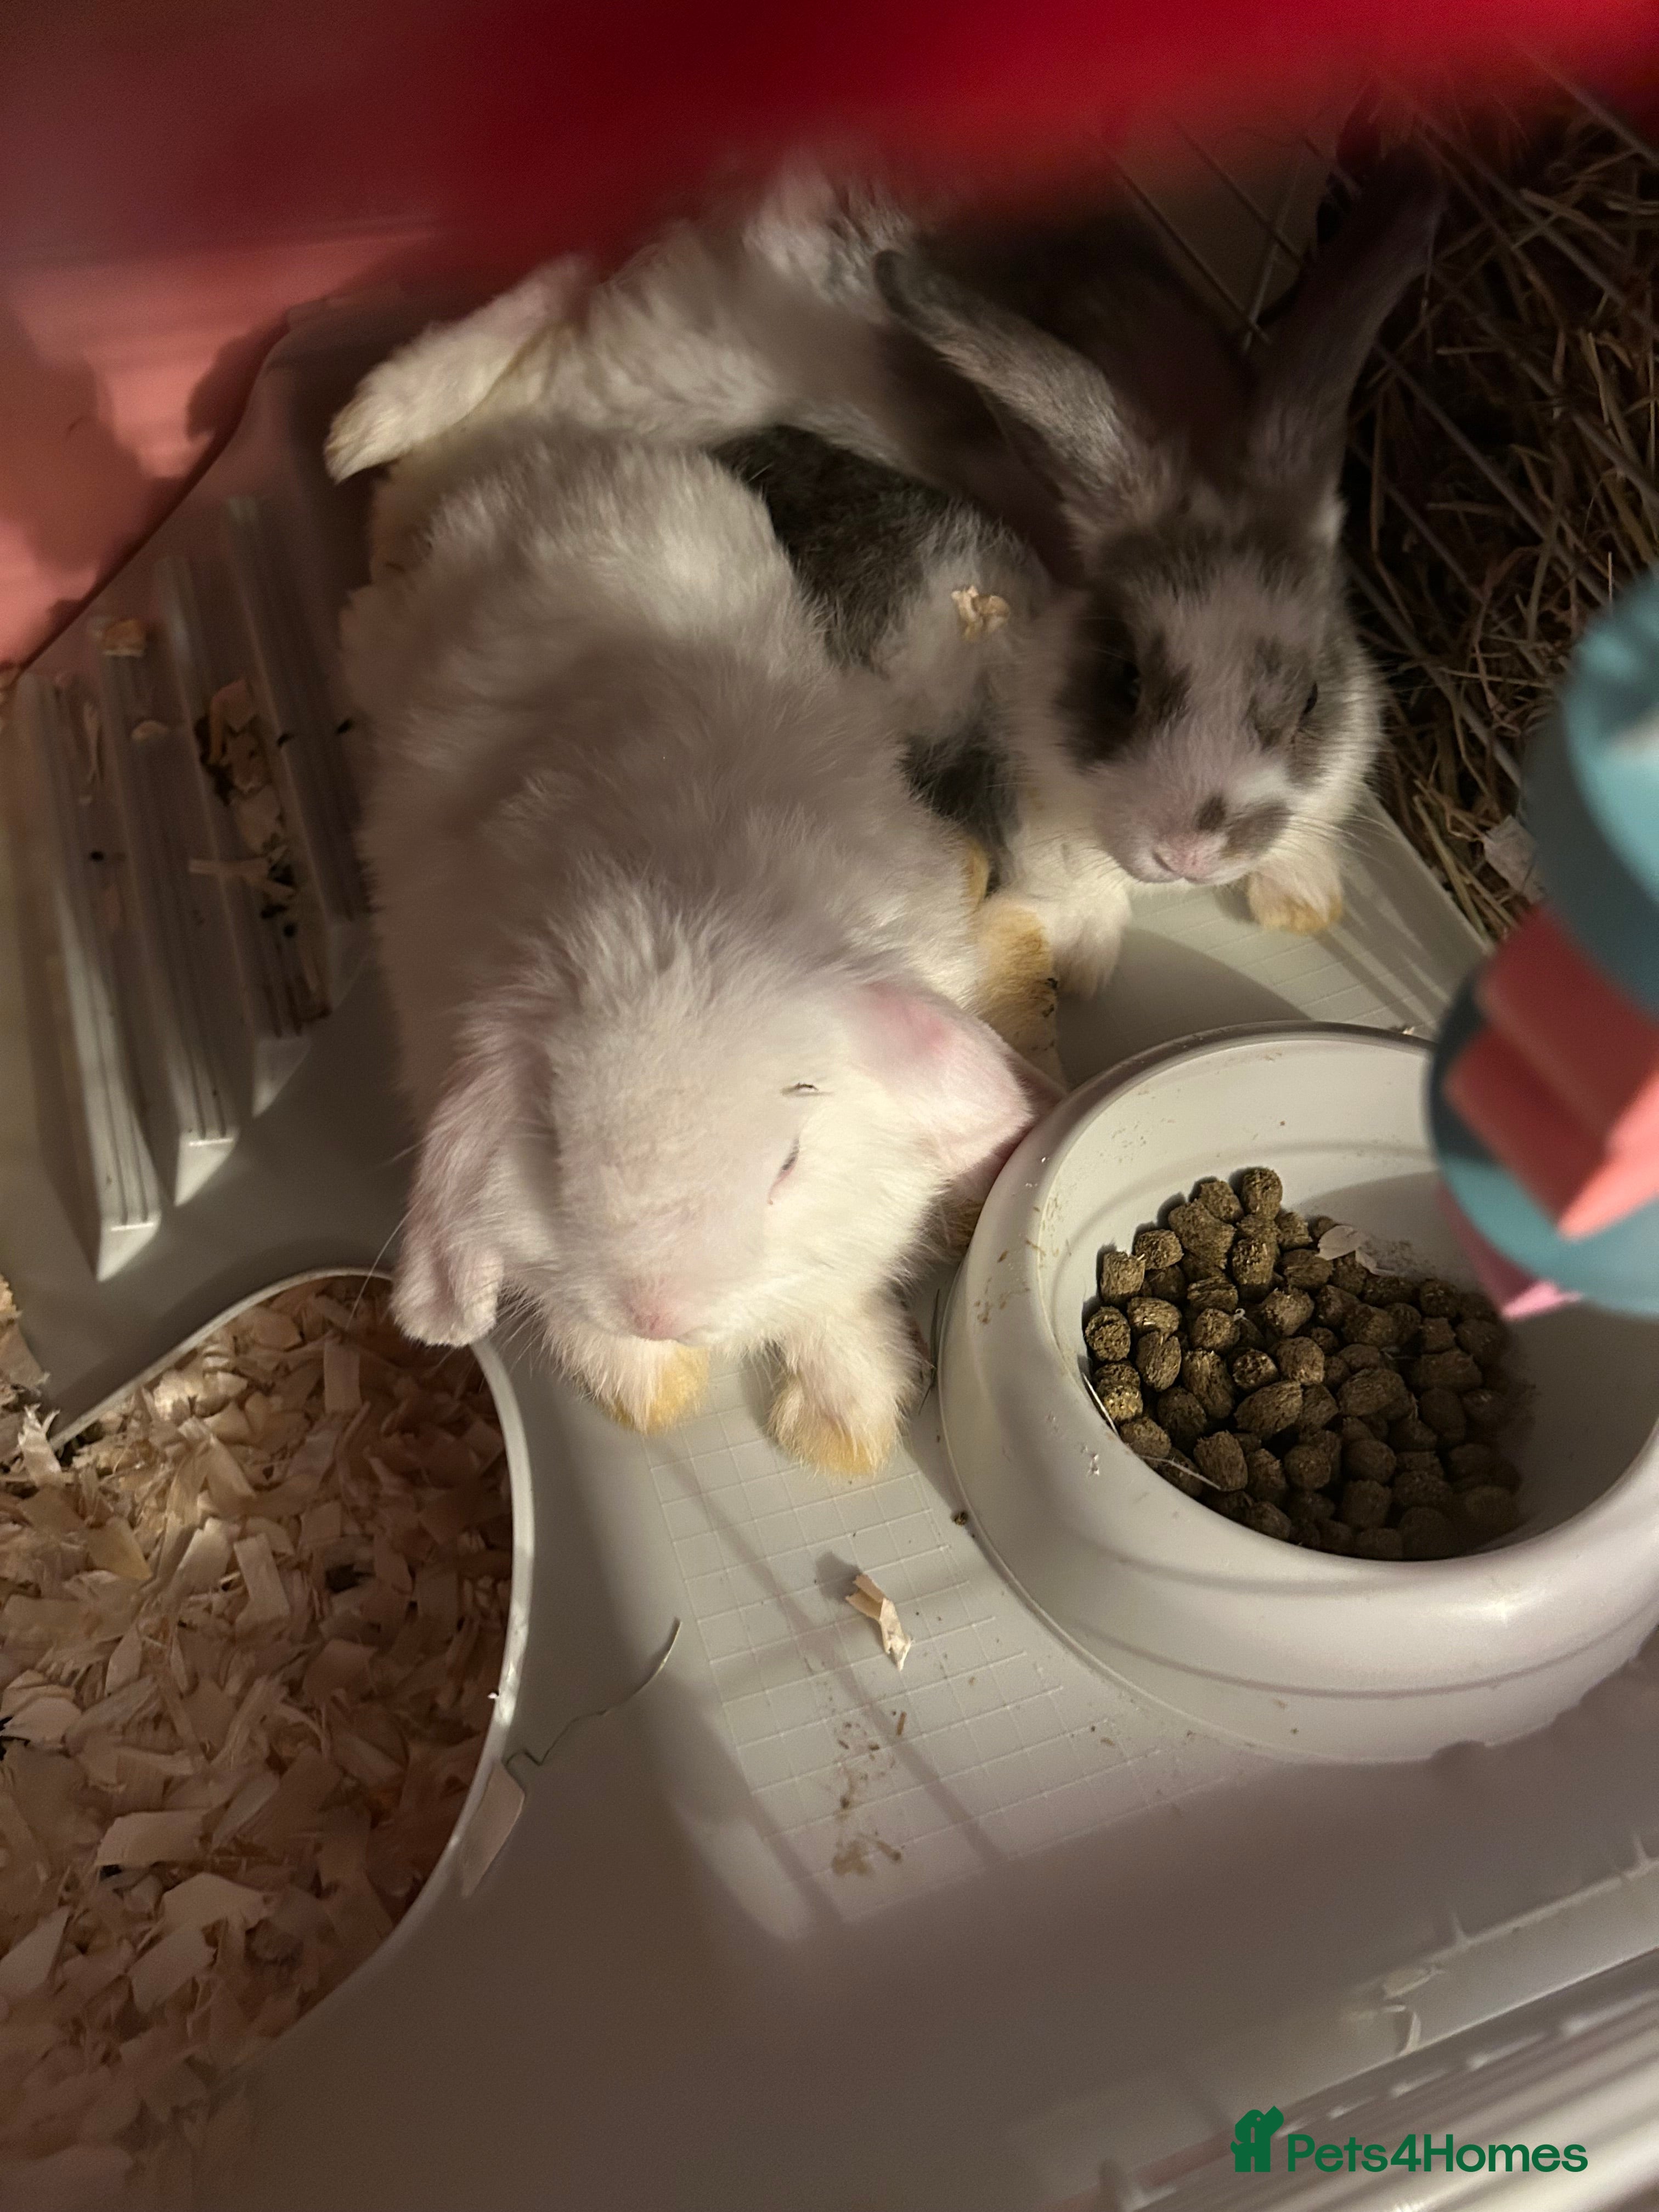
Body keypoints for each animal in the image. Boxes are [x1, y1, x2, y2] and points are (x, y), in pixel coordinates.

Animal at [337, 408, 1057, 1479]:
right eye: (554, 1148)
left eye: (789, 1160)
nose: (659, 1308)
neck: (679, 912)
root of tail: (549, 449)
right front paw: (651, 1389)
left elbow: (831, 1300)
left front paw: (844, 1422)